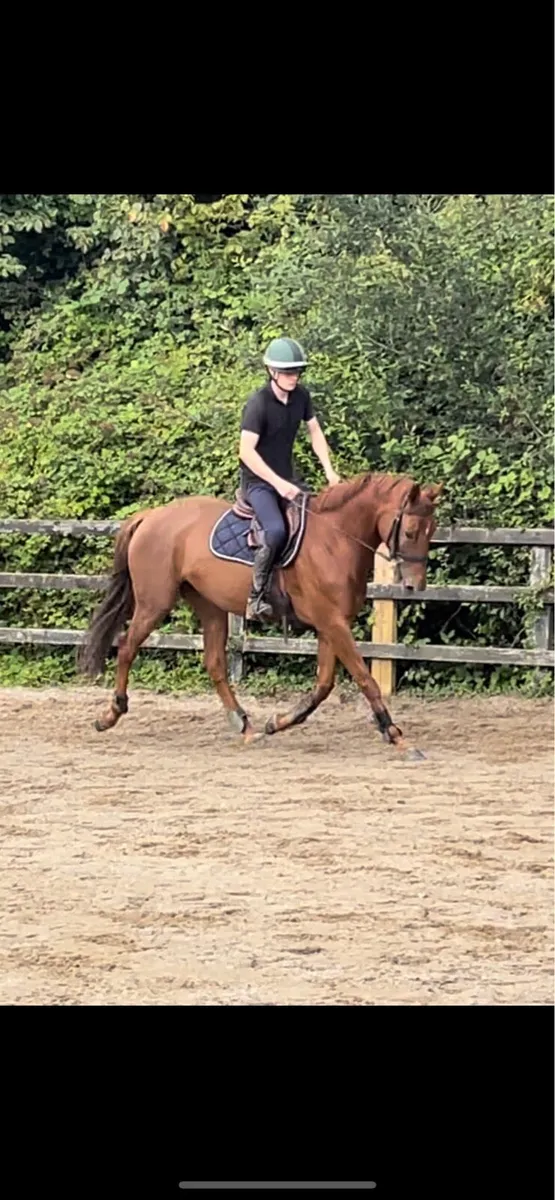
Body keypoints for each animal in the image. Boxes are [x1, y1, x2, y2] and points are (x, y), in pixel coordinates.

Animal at [78, 472, 443, 758]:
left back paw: (244, 726)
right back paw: (111, 713)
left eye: (432, 530)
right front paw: (396, 735)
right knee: (127, 647)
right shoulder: (332, 622)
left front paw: (277, 722)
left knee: (215, 663)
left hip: (210, 607)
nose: (415, 586)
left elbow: (324, 685)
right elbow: (365, 679)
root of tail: (151, 516)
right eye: (410, 531)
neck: (335, 539)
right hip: (154, 603)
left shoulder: (330, 625)